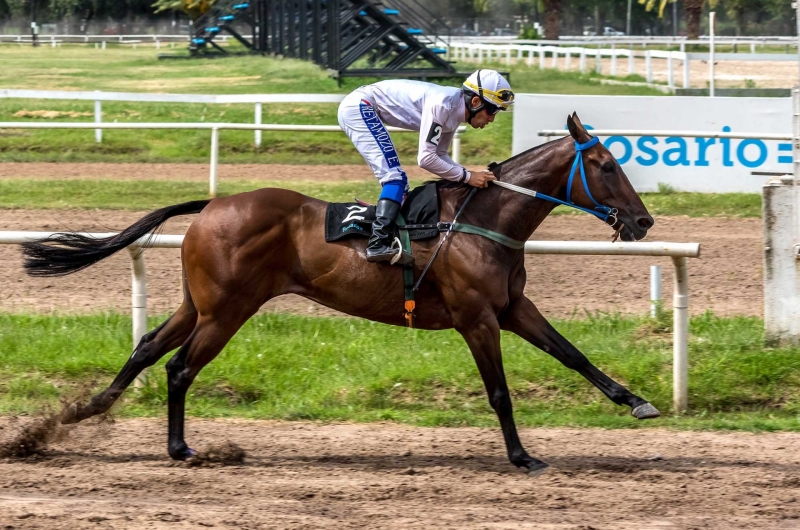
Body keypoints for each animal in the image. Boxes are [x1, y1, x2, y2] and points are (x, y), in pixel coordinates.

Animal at [23, 112, 656, 474]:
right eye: (606, 164)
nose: (643, 221)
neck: (484, 219)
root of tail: (212, 204)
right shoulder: (477, 317)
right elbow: (500, 392)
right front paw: (523, 456)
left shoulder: (511, 307)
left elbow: (573, 354)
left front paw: (635, 401)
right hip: (227, 309)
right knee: (179, 367)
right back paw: (180, 449)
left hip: (197, 303)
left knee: (148, 347)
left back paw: (79, 414)